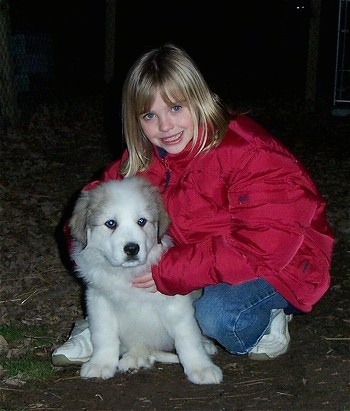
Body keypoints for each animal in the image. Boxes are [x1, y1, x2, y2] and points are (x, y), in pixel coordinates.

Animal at [69, 178, 221, 386]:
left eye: (141, 221)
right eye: (111, 223)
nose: (132, 248)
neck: (128, 275)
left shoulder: (176, 304)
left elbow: (188, 338)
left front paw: (201, 368)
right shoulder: (100, 302)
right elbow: (104, 335)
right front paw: (100, 364)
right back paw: (136, 356)